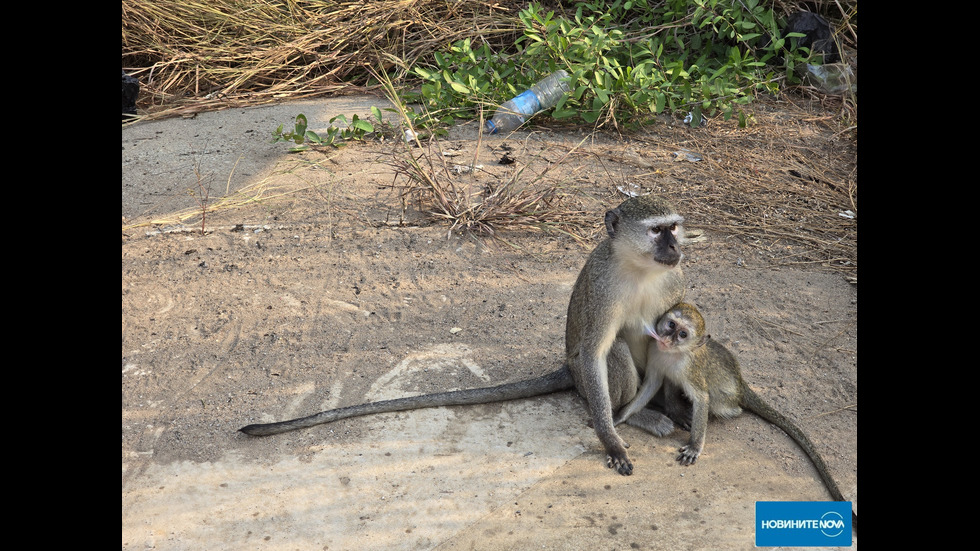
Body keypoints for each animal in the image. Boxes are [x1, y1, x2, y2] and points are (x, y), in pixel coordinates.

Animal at [612, 304, 856, 528]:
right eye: (671, 325)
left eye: (682, 334)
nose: (666, 337)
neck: (672, 354)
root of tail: (740, 384)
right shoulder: (655, 353)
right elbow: (651, 384)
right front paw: (620, 417)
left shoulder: (690, 370)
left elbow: (702, 398)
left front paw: (695, 446)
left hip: (726, 398)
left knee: (718, 403)